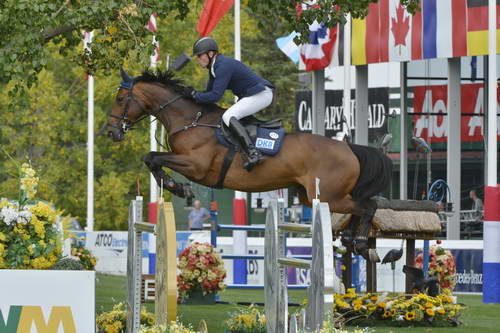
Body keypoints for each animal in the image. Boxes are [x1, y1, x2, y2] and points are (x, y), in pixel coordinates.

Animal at [107, 68, 392, 260]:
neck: (191, 120)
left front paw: (178, 187)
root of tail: (349, 147)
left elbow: (152, 157)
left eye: (120, 99)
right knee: (360, 208)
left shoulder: (196, 166)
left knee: (367, 206)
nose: (111, 132)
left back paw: (361, 243)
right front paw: (174, 186)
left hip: (329, 196)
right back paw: (351, 241)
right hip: (314, 196)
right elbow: (152, 158)